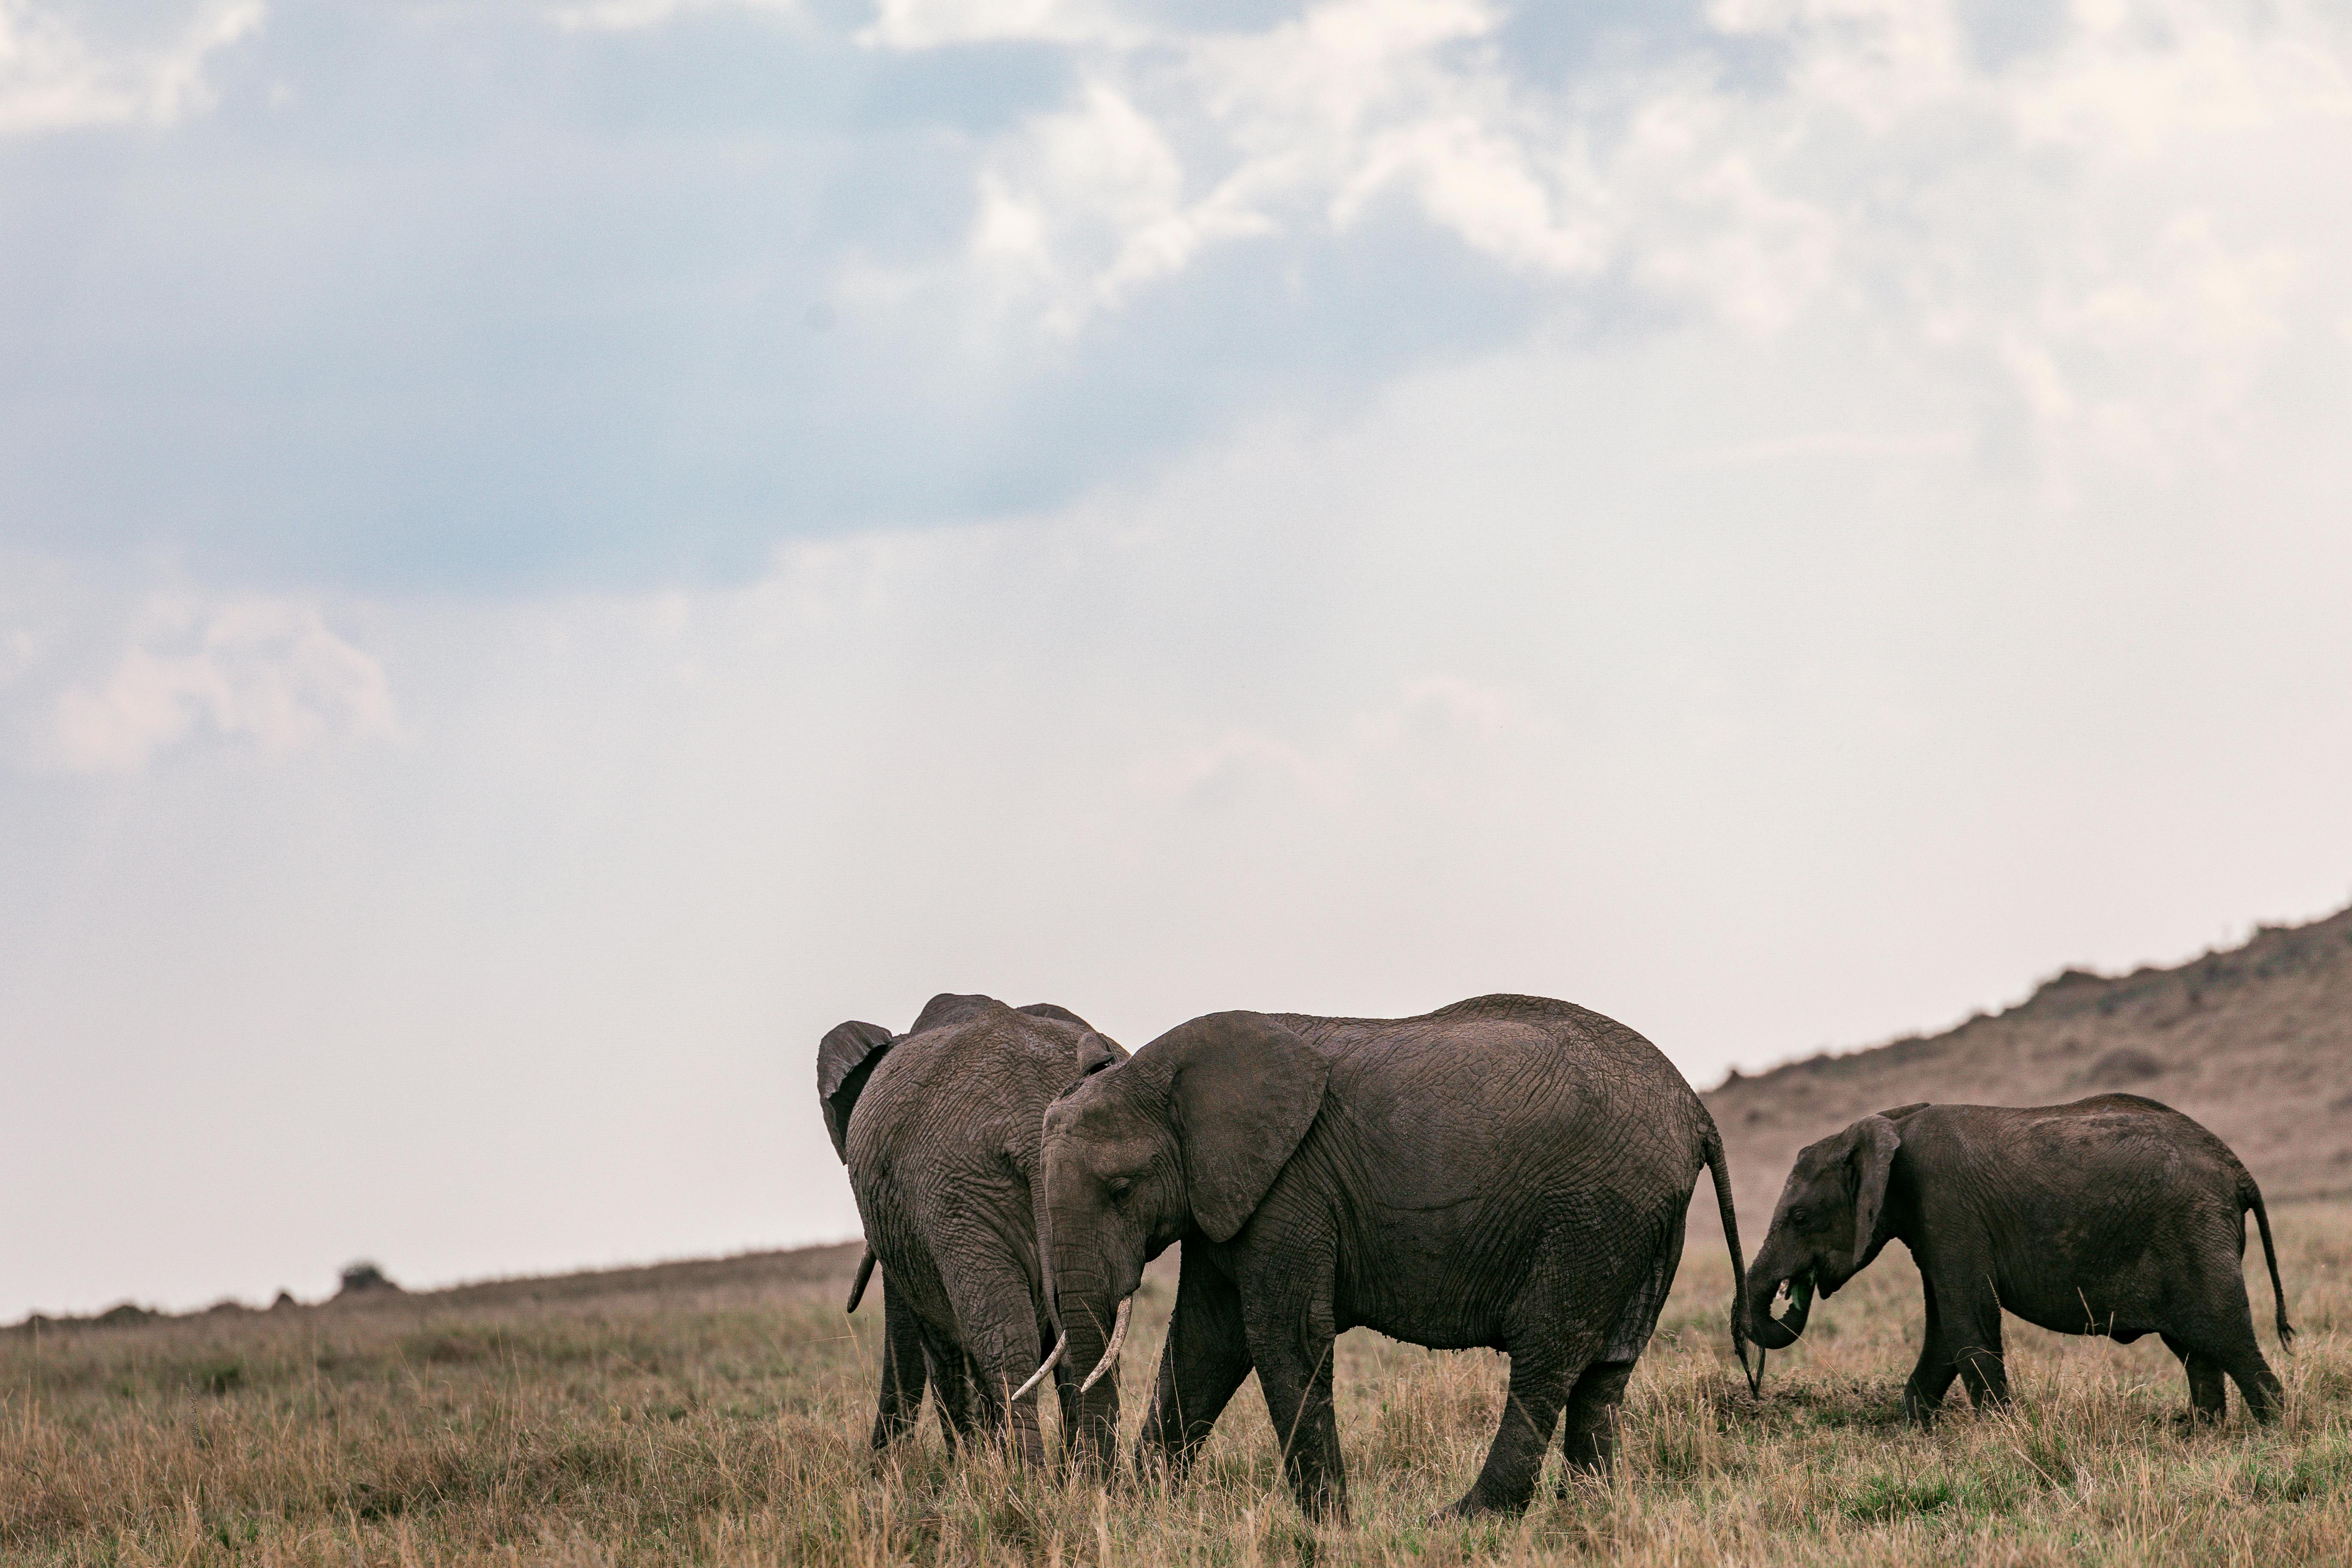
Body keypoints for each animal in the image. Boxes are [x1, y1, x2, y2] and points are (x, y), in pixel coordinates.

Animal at [818, 993, 1126, 1464]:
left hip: (954, 1188)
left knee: (1002, 1336)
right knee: (1081, 1330)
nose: (876, 1470)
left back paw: (1024, 1474)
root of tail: (1029, 1117)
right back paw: (1084, 1475)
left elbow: (939, 1339)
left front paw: (968, 1468)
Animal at [1027, 997, 1756, 1522]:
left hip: (1593, 1215)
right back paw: (1588, 1518)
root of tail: (1696, 1111)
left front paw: (1330, 1528)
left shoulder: (1290, 1186)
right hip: (1643, 1219)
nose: (1094, 1499)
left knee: (1547, 1357)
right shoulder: (1226, 1197)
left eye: (1122, 1190)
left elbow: (1283, 1336)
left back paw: (1465, 1521)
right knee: (1607, 1369)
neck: (1161, 1069)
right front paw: (1146, 1513)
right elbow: (1206, 1342)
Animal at [1744, 1094, 2293, 1423]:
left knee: (2226, 1334)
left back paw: (2270, 1432)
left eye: (1798, 1217)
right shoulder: (1935, 1226)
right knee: (2197, 1348)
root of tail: (2238, 1169)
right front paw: (1920, 1427)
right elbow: (1945, 1328)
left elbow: (1967, 1322)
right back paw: (2201, 1432)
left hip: (2194, 1231)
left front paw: (2001, 1432)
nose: (1794, 1290)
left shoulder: (1948, 1209)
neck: (1891, 1123)